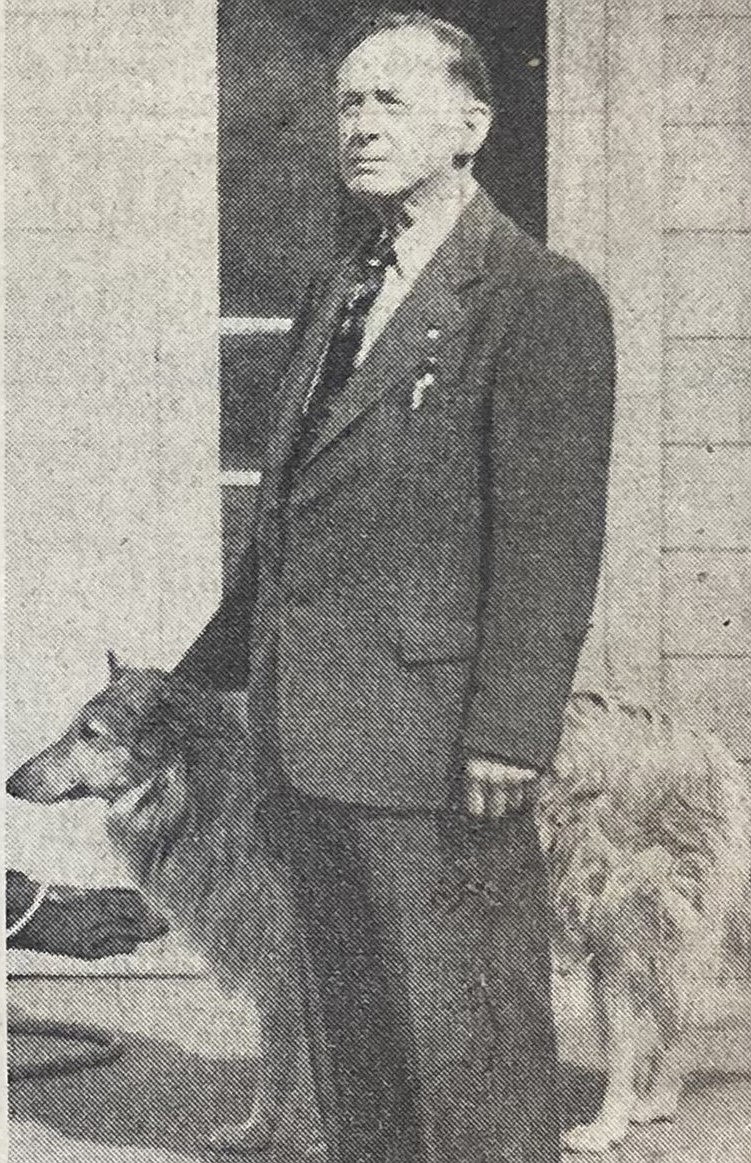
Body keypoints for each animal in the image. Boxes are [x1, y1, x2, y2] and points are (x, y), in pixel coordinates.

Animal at [7, 660, 751, 1158]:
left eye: (89, 732)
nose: (13, 780)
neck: (202, 773)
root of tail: (705, 745)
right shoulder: (287, 955)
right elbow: (281, 1055)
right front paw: (257, 1131)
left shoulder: (298, 942)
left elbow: (300, 1057)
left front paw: (307, 1133)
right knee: (678, 1012)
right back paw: (657, 1101)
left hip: (618, 920)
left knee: (637, 1028)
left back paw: (610, 1121)